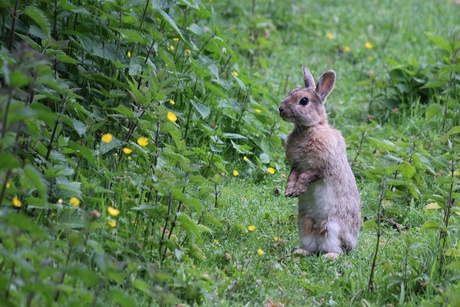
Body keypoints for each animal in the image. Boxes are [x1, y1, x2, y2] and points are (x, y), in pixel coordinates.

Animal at [278, 66, 362, 258]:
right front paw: (289, 190)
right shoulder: (296, 165)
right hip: (305, 224)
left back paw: (329, 256)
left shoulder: (323, 167)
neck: (310, 128)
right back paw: (300, 251)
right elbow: (293, 175)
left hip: (331, 227)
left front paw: (298, 189)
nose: (281, 109)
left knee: (336, 249)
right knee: (312, 246)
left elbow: (308, 175)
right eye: (290, 92)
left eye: (304, 101)